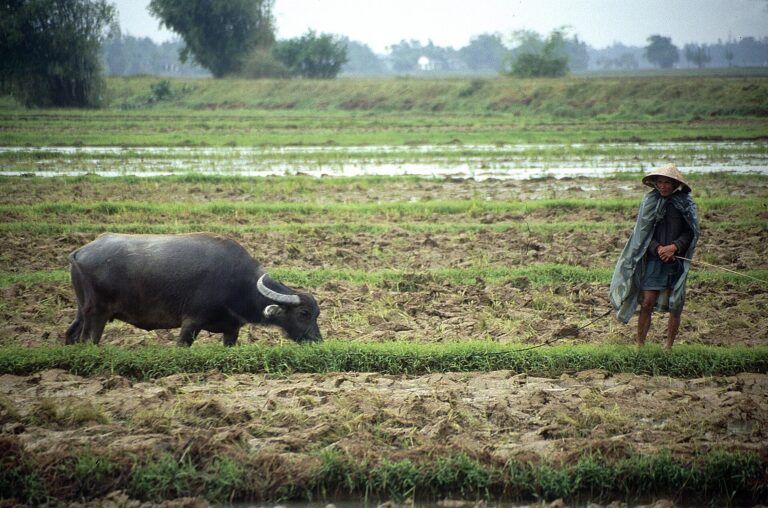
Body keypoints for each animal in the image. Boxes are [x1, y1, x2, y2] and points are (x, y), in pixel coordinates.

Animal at [65, 233, 321, 346]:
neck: (237, 283)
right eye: (303, 313)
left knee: (70, 334)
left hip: (82, 311)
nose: (317, 340)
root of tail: (79, 252)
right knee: (88, 341)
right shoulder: (190, 323)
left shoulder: (231, 330)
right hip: (97, 314)